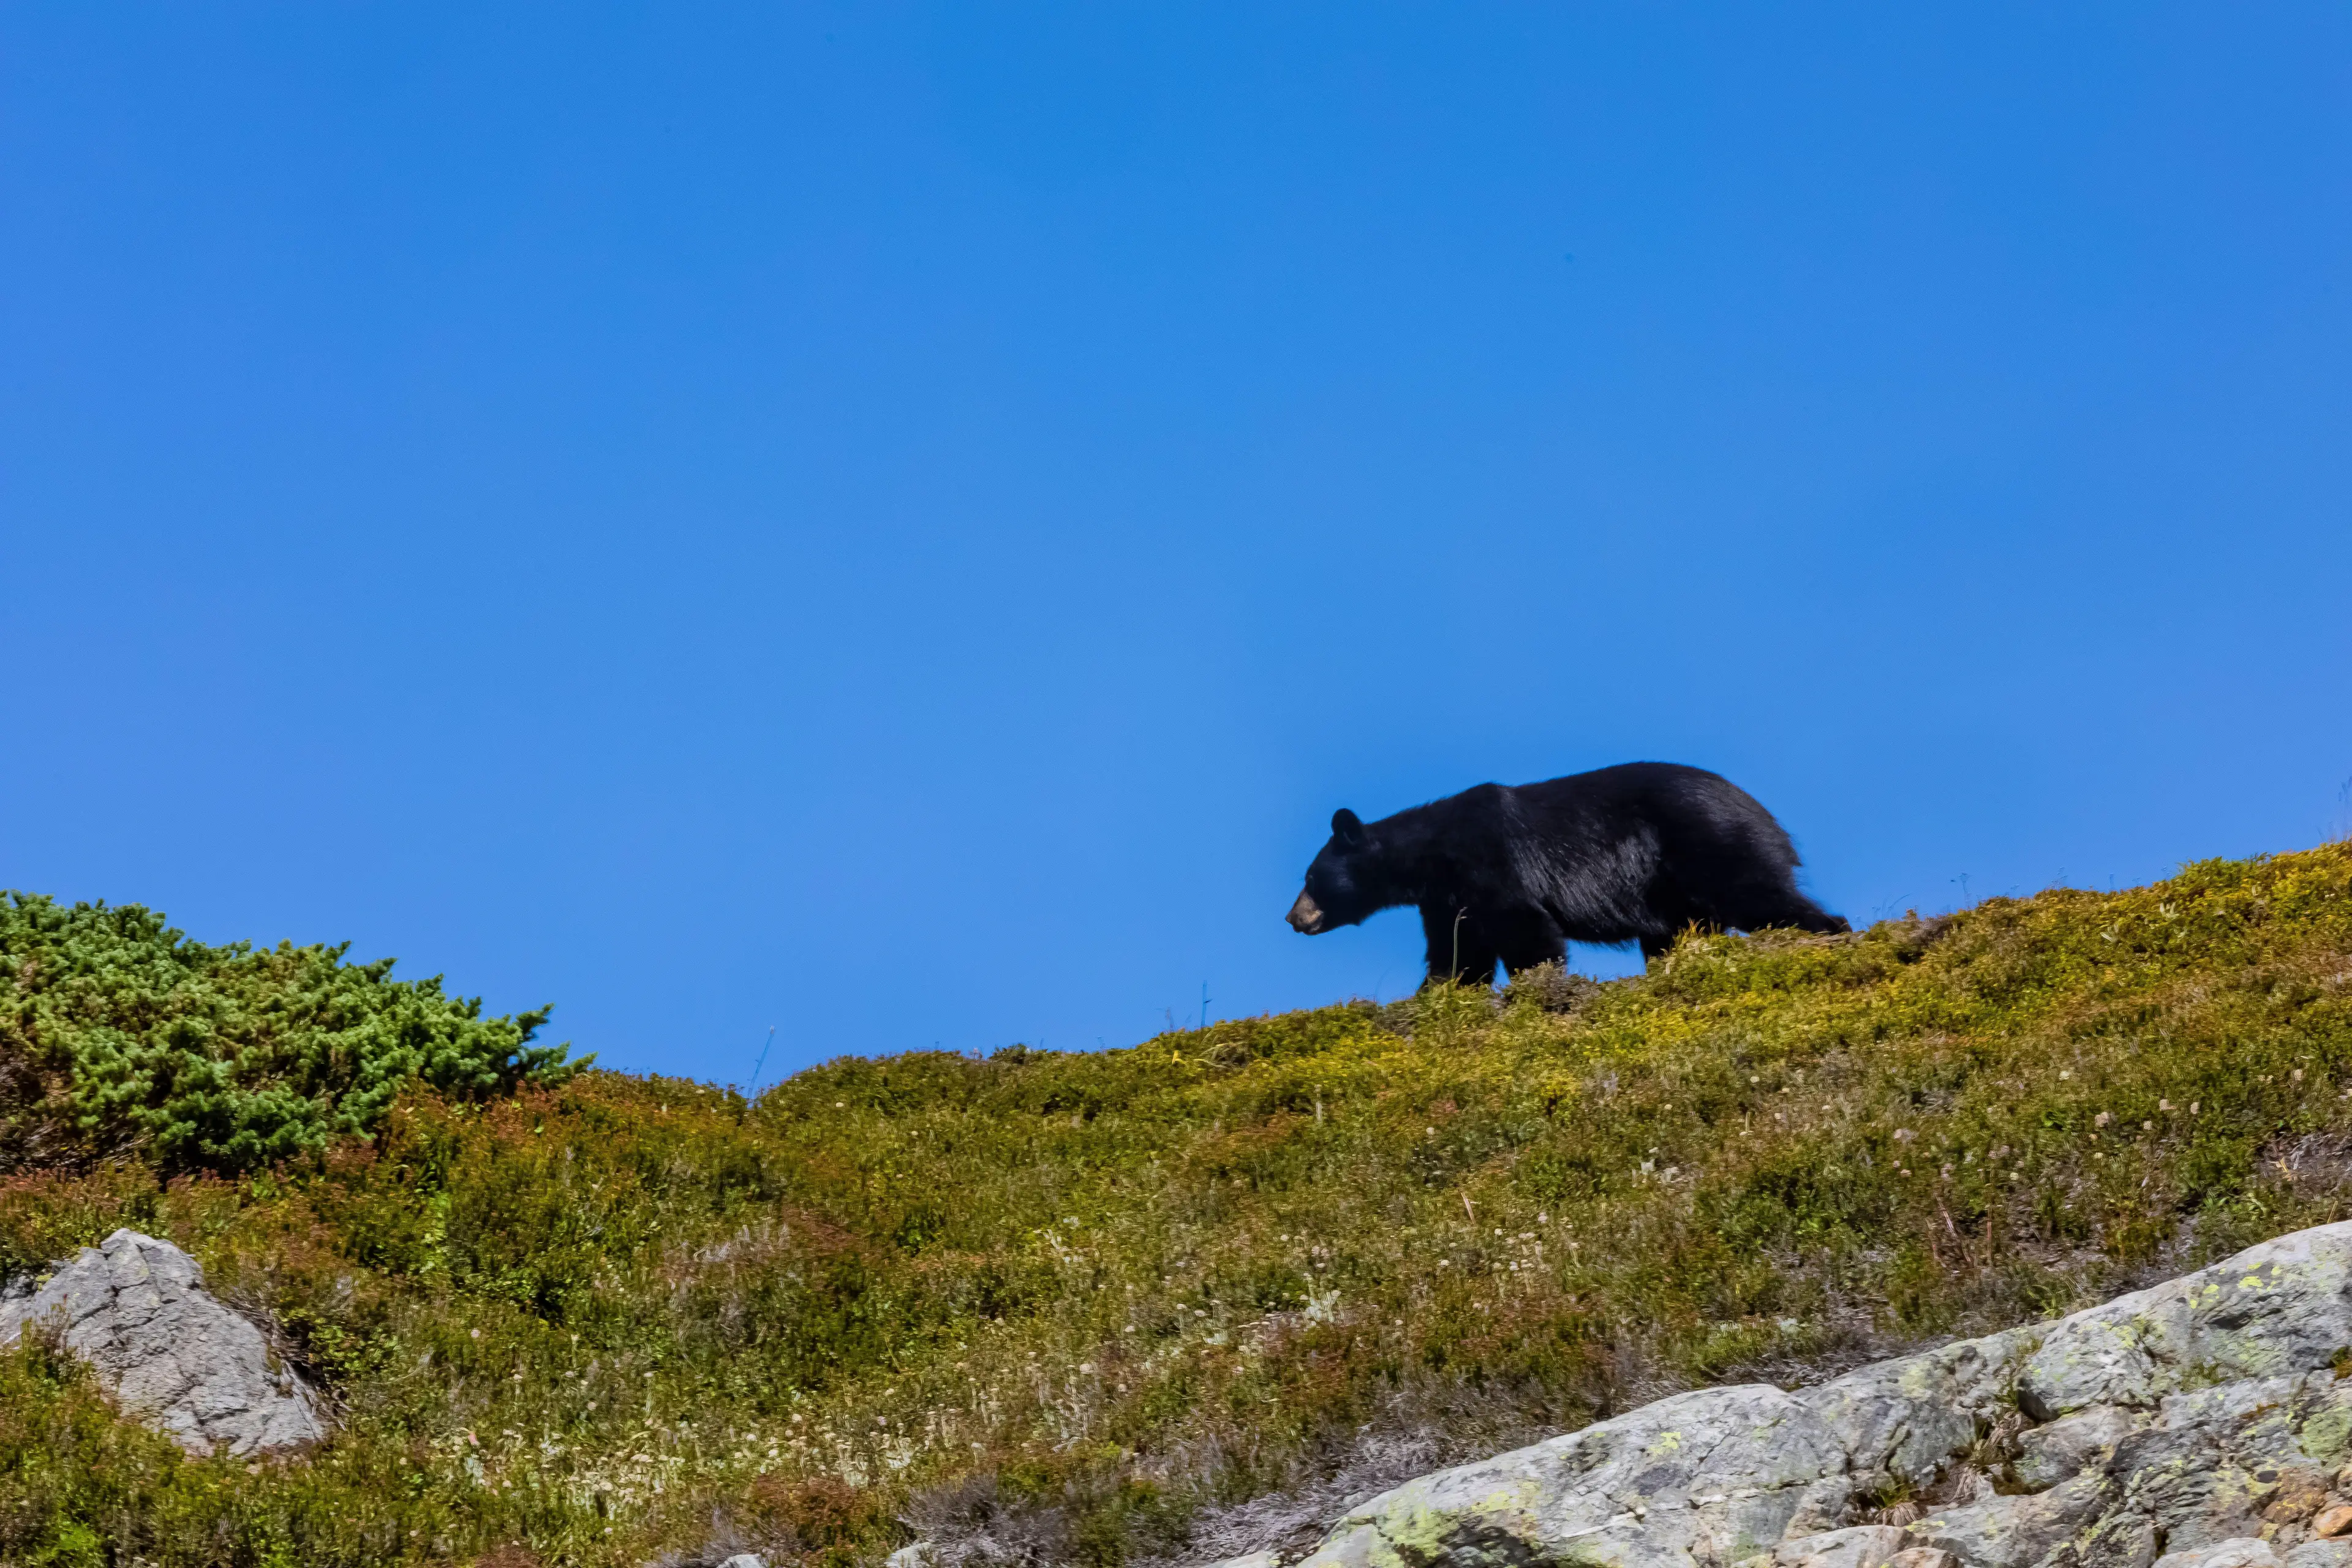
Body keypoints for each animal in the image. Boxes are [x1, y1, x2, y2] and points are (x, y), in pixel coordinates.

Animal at [1285, 761, 1849, 986]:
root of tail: (1768, 815)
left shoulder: (1490, 861)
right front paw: (1437, 993)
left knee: (1761, 894)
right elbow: (1459, 955)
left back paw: (1830, 934)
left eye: (1310, 879)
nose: (1292, 918)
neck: (1431, 855)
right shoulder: (1446, 899)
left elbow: (1525, 926)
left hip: (1711, 841)